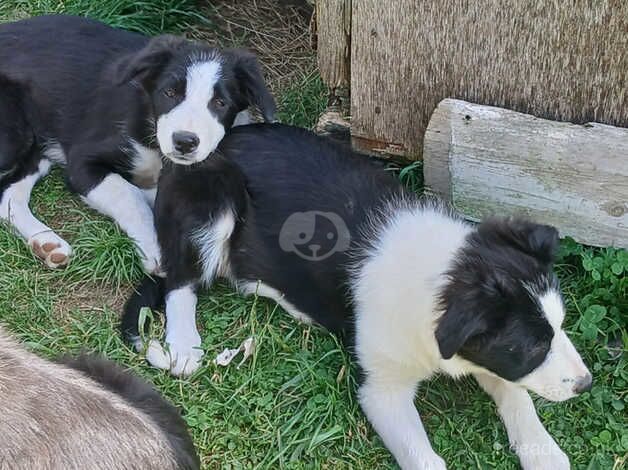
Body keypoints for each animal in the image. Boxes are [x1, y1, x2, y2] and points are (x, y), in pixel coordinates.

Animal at [0, 14, 274, 274]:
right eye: (169, 93)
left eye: (220, 103)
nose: (184, 142)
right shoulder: (82, 161)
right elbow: (128, 194)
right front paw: (155, 247)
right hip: (15, 137)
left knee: (9, 196)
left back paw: (46, 243)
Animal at [125, 124, 592, 470]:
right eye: (531, 346)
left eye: (560, 327)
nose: (586, 385)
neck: (444, 274)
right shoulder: (382, 390)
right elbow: (428, 460)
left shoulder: (482, 355)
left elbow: (517, 394)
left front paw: (545, 453)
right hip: (212, 201)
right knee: (180, 279)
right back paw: (184, 343)